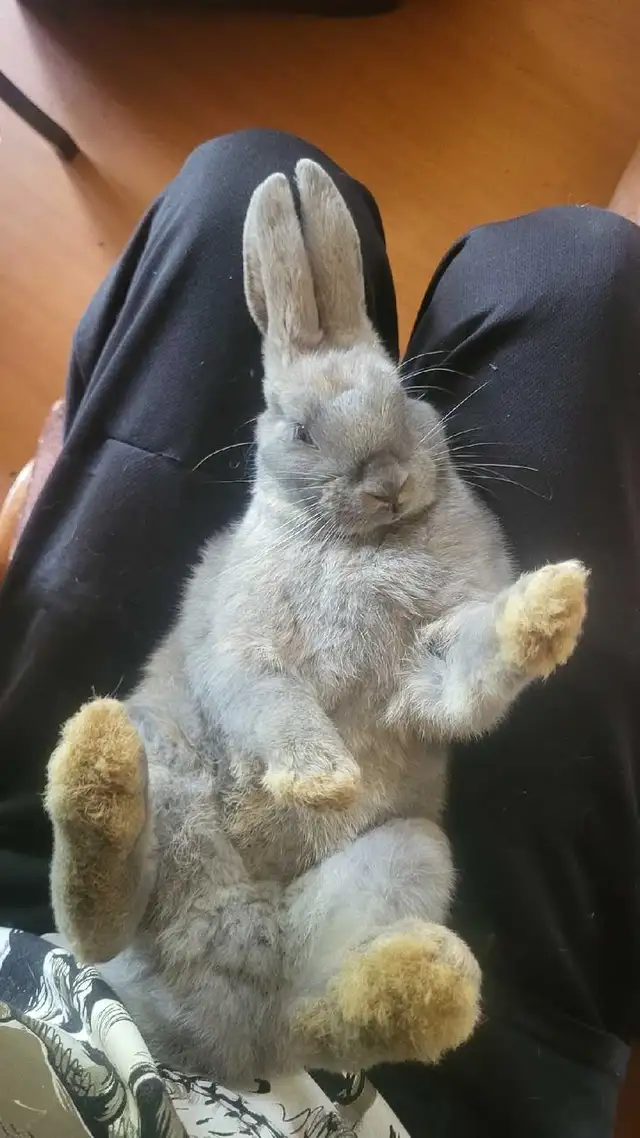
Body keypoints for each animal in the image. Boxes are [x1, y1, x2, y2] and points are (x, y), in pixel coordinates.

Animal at [45, 159, 588, 1086]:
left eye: (405, 398)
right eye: (299, 429)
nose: (388, 482)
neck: (360, 541)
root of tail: (213, 1040)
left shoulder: (432, 661)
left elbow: (475, 661)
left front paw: (556, 601)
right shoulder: (246, 653)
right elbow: (274, 703)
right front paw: (322, 779)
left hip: (407, 855)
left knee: (315, 1014)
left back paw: (424, 989)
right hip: (171, 765)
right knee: (100, 927)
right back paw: (98, 778)